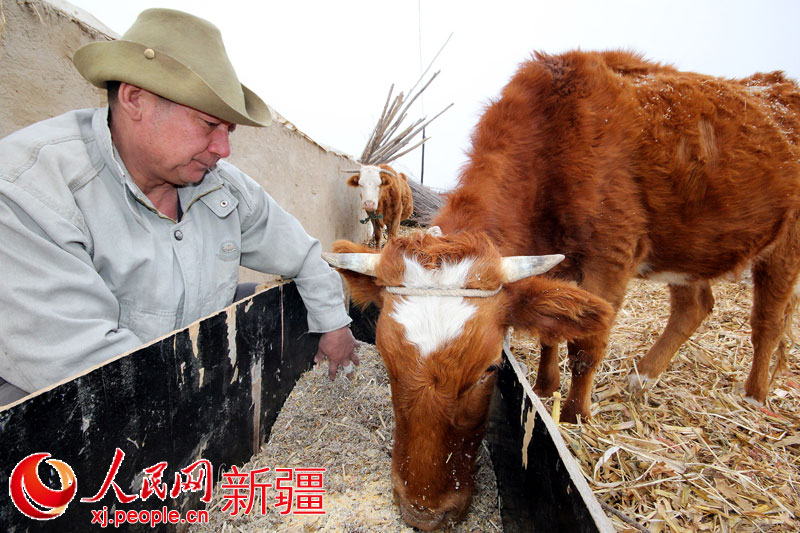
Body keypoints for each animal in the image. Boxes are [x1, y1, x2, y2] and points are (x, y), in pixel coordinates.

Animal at [324, 51, 800, 528]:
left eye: (490, 369)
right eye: (387, 364)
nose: (422, 514)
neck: (551, 140)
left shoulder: (611, 258)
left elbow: (586, 346)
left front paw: (574, 416)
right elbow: (552, 332)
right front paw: (546, 385)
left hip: (783, 244)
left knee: (768, 320)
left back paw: (754, 398)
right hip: (692, 250)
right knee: (695, 305)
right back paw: (642, 378)